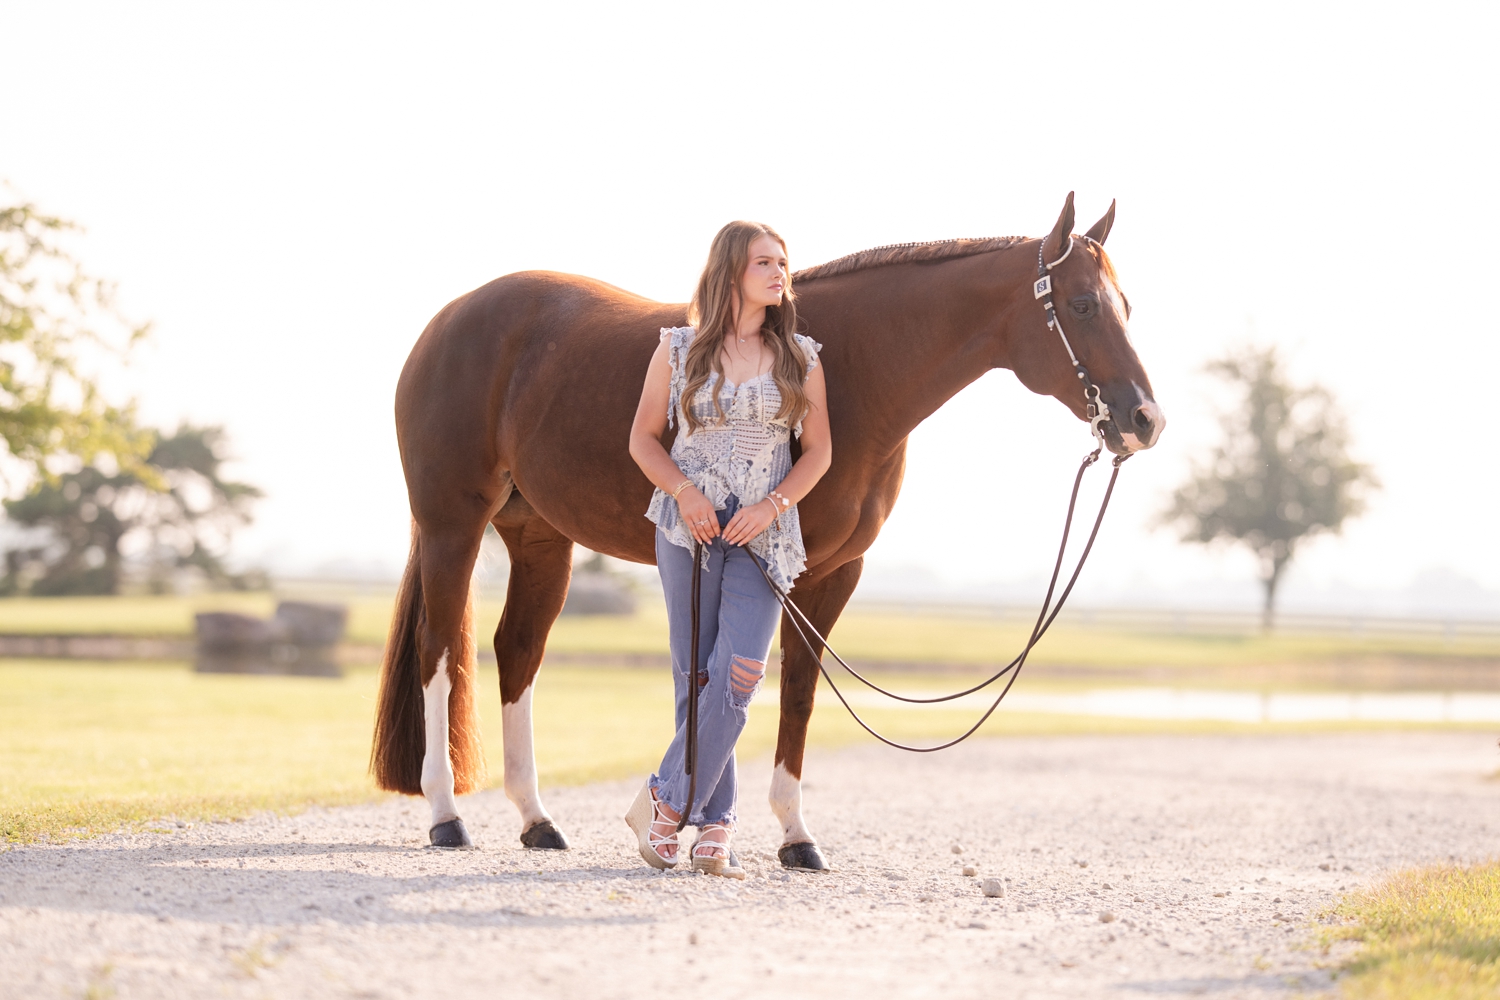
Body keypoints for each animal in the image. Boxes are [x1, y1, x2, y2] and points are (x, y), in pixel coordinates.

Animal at [371, 192, 1165, 868]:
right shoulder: (789, 568)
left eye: (1125, 304)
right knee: (440, 651)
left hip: (540, 538)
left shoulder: (835, 571)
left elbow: (797, 691)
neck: (859, 367)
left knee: (517, 652)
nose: (1144, 420)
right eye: (1084, 305)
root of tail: (451, 319)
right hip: (451, 524)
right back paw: (446, 817)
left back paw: (537, 820)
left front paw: (793, 836)